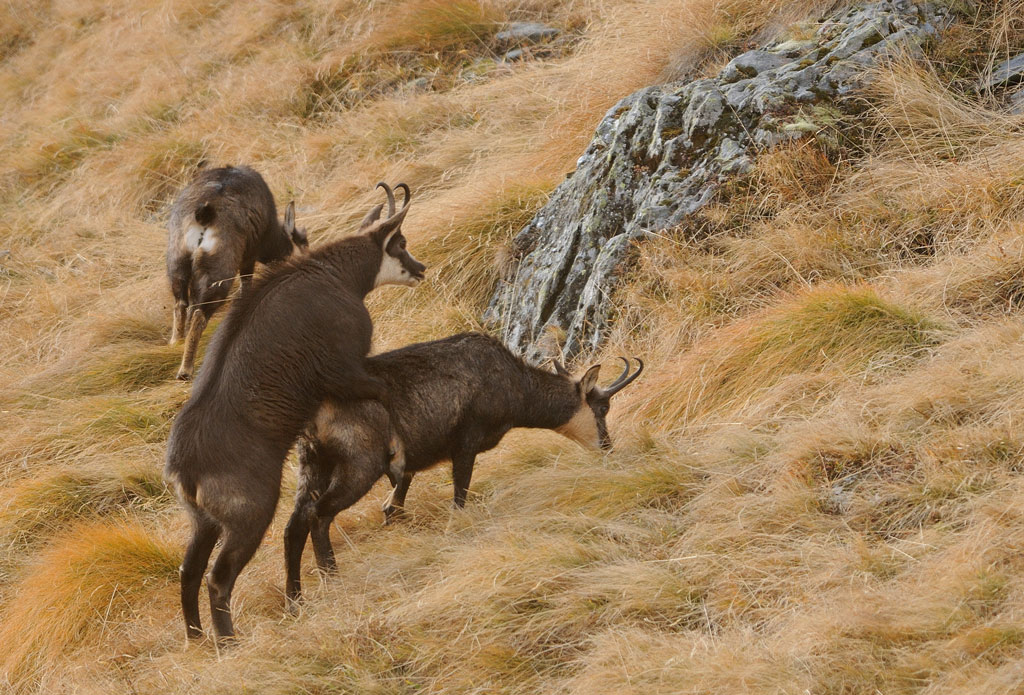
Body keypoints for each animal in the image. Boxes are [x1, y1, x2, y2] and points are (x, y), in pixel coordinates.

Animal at [166, 165, 309, 381]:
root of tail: (204, 215)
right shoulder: (249, 256)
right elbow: (246, 285)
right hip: (218, 270)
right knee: (199, 314)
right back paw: (185, 370)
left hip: (177, 262)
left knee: (181, 303)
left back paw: (176, 343)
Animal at [283, 332, 642, 605]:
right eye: (603, 407)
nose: (607, 448)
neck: (512, 384)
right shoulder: (466, 442)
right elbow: (459, 496)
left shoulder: (417, 454)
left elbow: (401, 493)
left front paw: (392, 512)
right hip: (359, 464)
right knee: (318, 515)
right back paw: (331, 578)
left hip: (312, 463)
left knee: (294, 524)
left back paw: (294, 600)